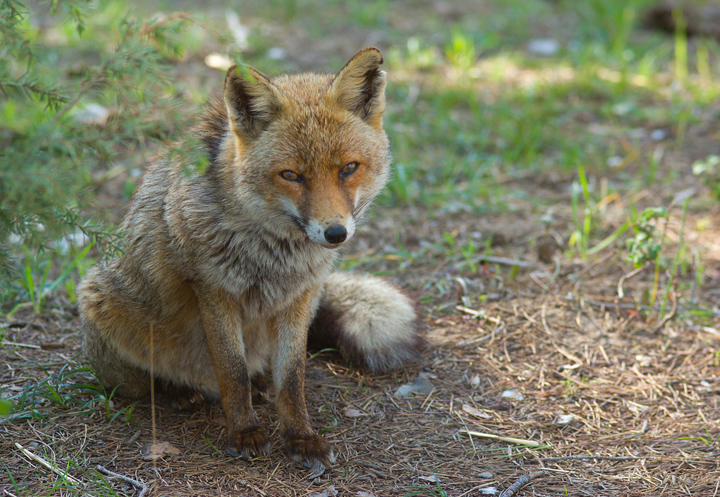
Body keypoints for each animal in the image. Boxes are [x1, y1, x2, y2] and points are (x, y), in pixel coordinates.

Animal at [77, 48, 422, 474]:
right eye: (291, 175)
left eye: (348, 168)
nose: (335, 233)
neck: (275, 255)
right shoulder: (213, 290)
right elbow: (232, 371)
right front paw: (243, 432)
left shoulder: (301, 295)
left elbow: (291, 379)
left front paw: (300, 436)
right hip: (104, 306)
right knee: (146, 384)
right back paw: (176, 390)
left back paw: (258, 386)